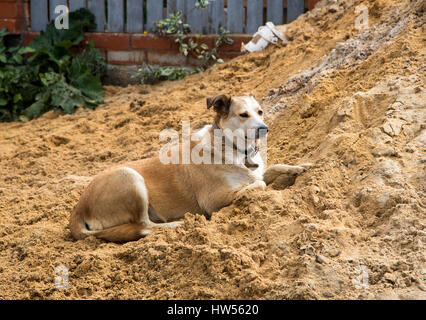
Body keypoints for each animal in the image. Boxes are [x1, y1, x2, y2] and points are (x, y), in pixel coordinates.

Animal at [69, 95, 310, 242]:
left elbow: (272, 169)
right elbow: (258, 184)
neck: (232, 147)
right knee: (145, 225)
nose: (264, 128)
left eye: (260, 112)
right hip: (130, 178)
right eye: (244, 115)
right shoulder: (213, 200)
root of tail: (78, 207)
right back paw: (178, 225)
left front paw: (301, 166)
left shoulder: (257, 170)